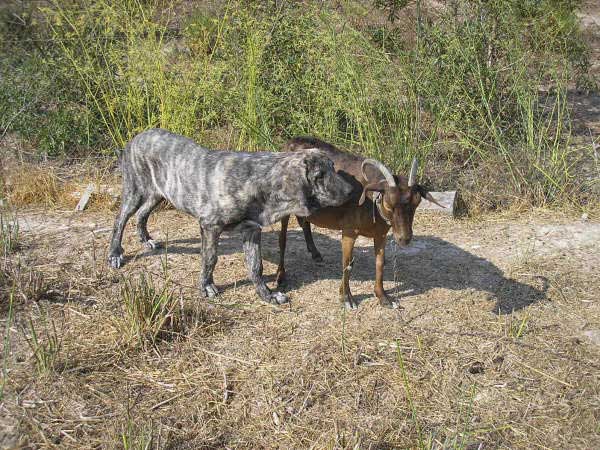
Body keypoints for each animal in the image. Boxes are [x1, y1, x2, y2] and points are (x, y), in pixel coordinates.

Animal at [276, 137, 440, 310]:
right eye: (389, 204)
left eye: (417, 202)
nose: (404, 239)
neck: (371, 200)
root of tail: (289, 143)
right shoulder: (349, 230)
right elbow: (348, 263)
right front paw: (346, 298)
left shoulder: (381, 233)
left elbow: (380, 262)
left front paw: (383, 297)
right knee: (283, 239)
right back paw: (281, 277)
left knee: (304, 221)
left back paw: (315, 253)